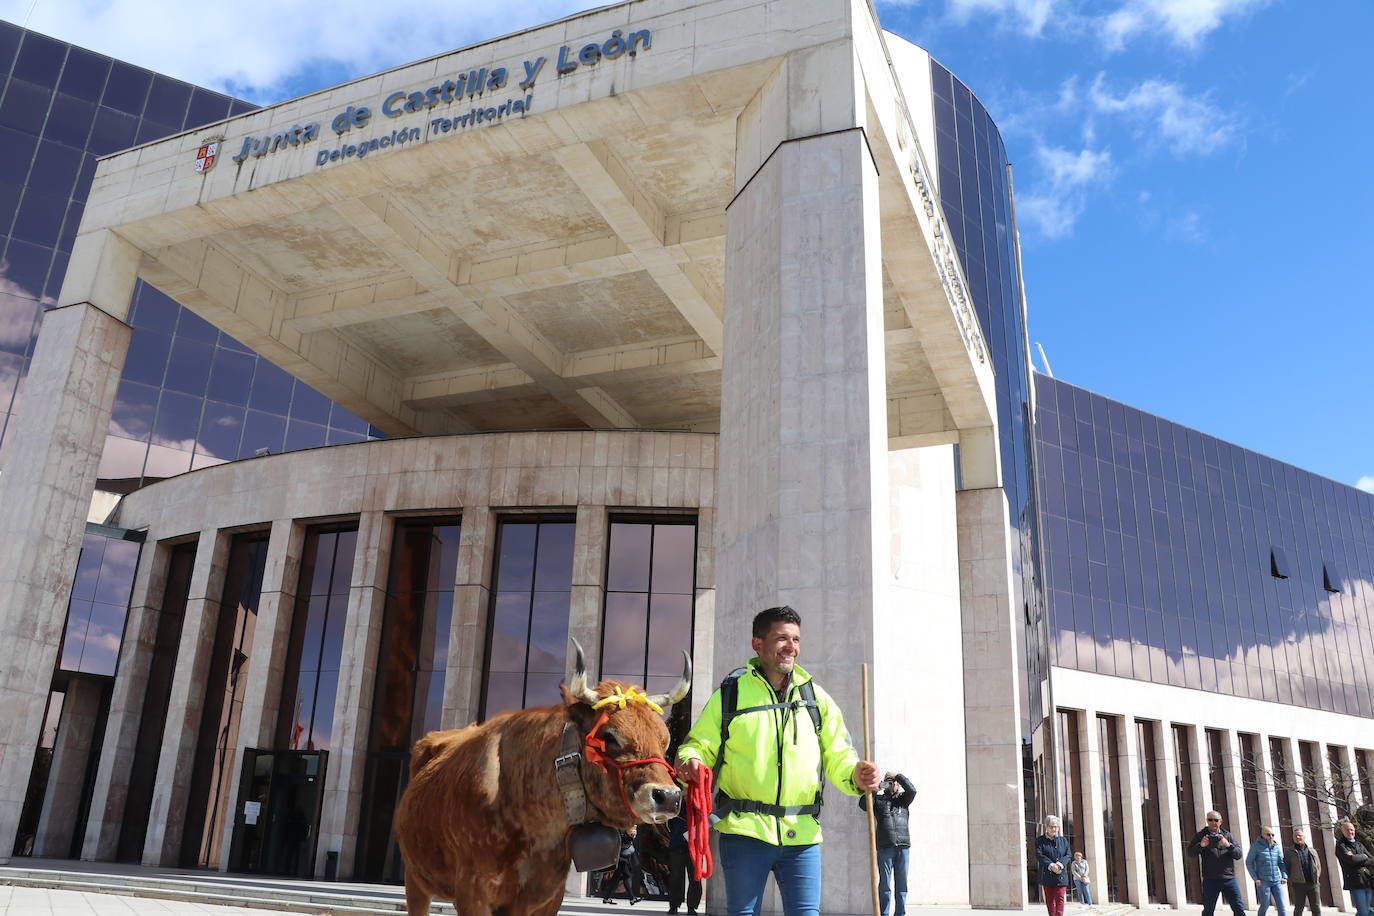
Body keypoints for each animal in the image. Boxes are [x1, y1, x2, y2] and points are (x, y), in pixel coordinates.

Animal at [392, 645, 687, 916]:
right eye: (610, 736)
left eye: (665, 740)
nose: (668, 796)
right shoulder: (473, 890)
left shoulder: (547, 896)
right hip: (414, 877)